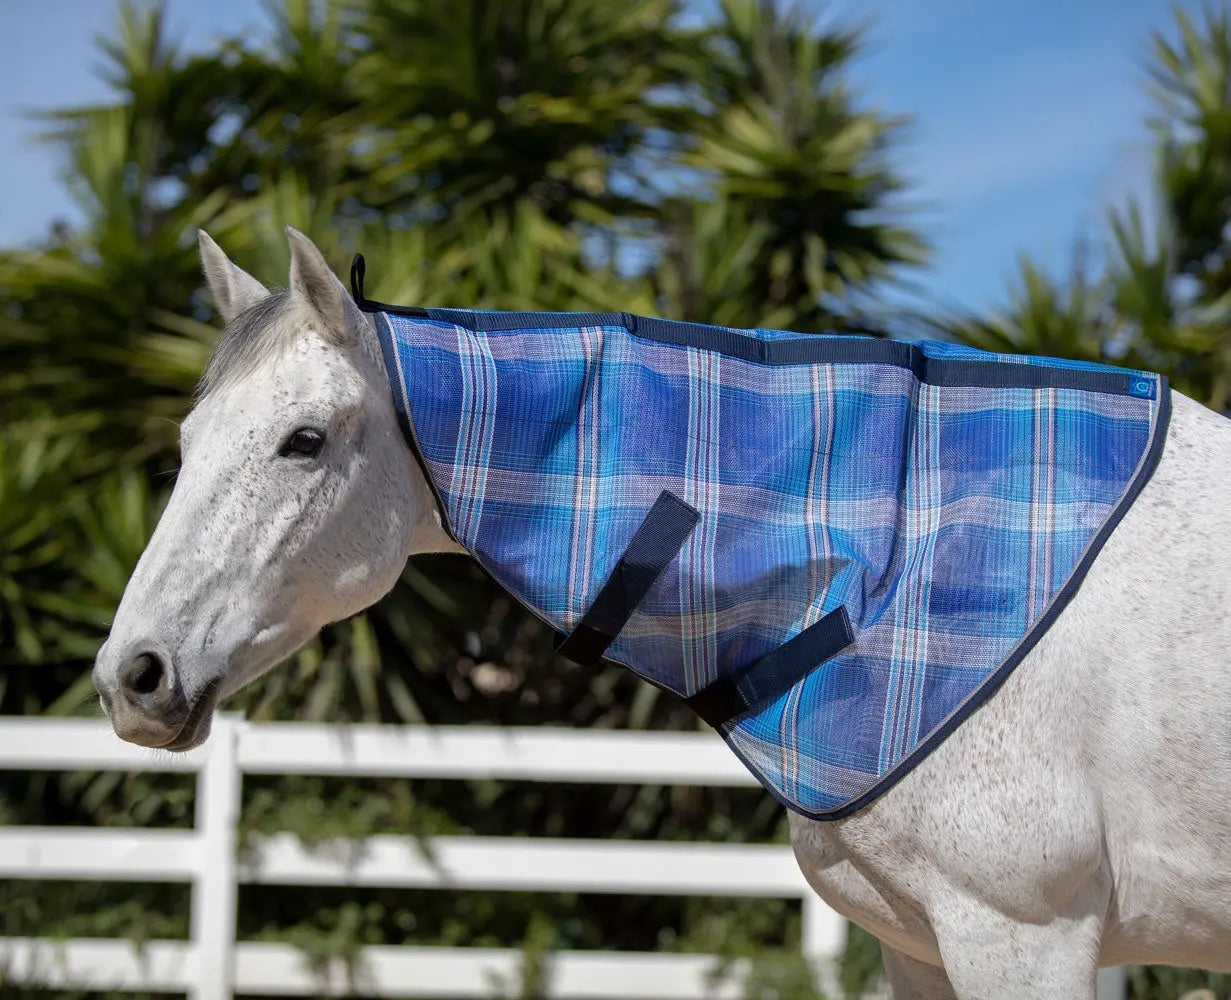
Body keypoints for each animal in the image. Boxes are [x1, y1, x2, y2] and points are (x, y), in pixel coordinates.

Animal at [92, 227, 1231, 998]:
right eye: (188, 441)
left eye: (304, 441)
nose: (131, 677)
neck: (904, 545)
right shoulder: (919, 944)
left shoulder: (1025, 936)